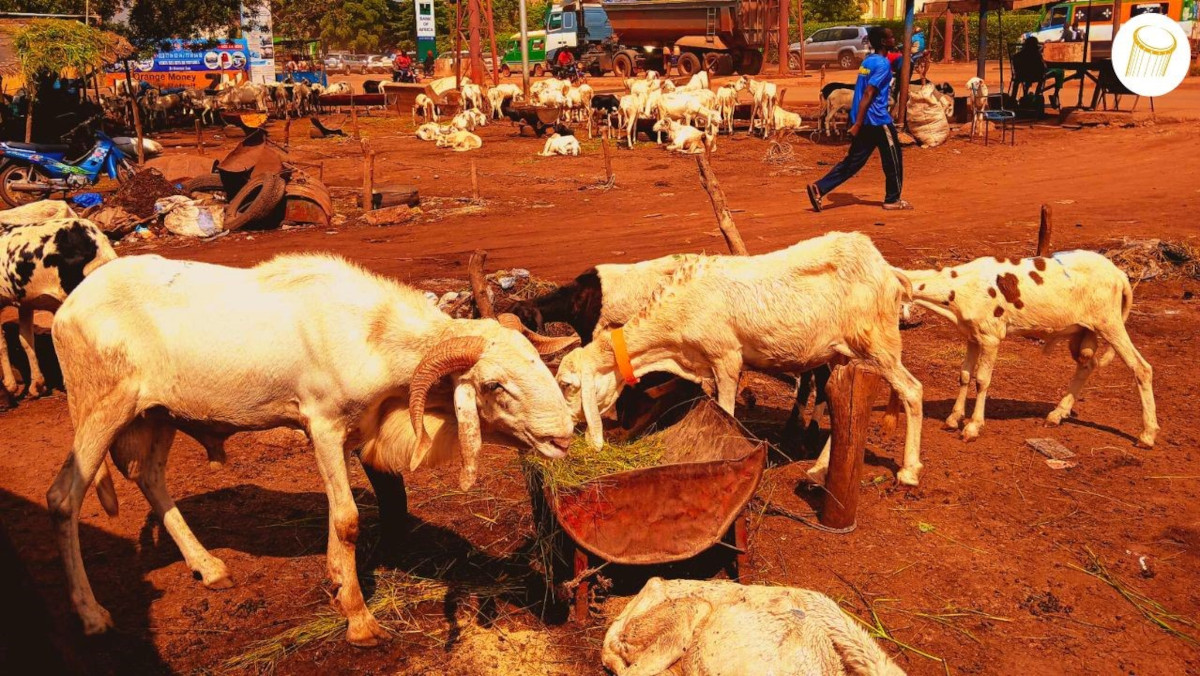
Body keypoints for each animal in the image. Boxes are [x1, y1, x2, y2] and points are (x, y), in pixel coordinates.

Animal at [49, 252, 583, 643]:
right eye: (494, 385)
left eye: (535, 359)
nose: (563, 434)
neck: (369, 334)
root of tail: (68, 308)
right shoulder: (322, 426)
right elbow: (347, 520)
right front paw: (360, 621)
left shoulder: (354, 433)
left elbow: (353, 514)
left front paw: (339, 582)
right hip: (102, 407)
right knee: (63, 498)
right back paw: (91, 613)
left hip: (159, 414)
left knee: (151, 478)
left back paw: (208, 567)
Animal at [902, 250, 1156, 446]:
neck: (959, 286)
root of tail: (1119, 275)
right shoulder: (972, 337)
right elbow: (964, 375)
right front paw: (953, 418)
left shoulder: (991, 336)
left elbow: (981, 380)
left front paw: (972, 427)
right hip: (1083, 330)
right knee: (1086, 365)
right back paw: (1057, 414)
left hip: (1109, 322)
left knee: (1141, 368)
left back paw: (1147, 435)